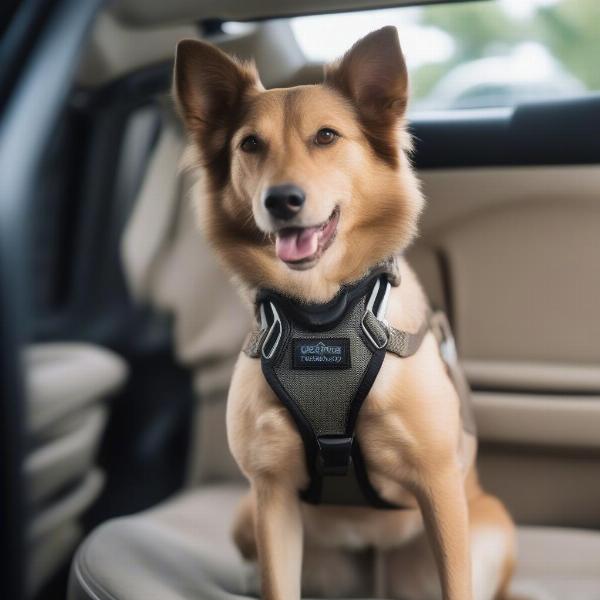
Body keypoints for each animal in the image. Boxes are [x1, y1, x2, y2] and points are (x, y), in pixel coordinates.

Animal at [173, 24, 516, 600]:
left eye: (327, 136)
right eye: (250, 144)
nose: (281, 200)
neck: (322, 313)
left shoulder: (440, 485)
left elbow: (457, 581)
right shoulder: (270, 493)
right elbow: (278, 585)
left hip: (489, 527)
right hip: (246, 515)